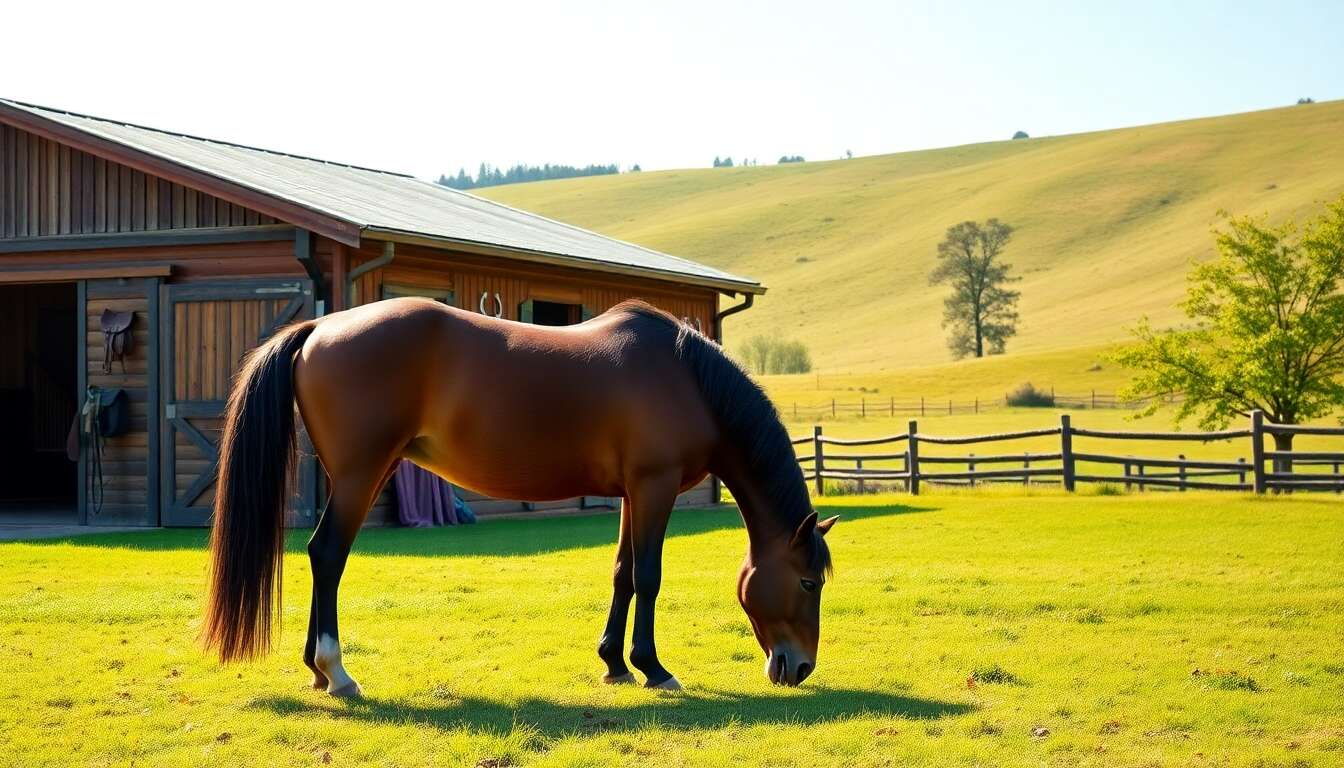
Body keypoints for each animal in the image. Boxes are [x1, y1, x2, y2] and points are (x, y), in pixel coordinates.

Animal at [203, 298, 837, 697]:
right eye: (809, 582)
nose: (800, 666)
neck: (685, 377)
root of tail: (319, 328)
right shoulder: (655, 487)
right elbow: (649, 576)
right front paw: (653, 668)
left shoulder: (633, 493)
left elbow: (622, 574)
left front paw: (614, 664)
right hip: (362, 474)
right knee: (328, 554)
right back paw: (336, 672)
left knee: (321, 557)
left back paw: (316, 670)